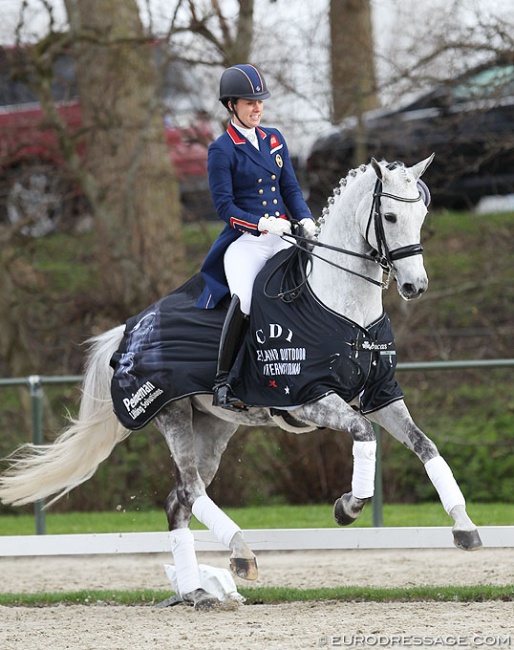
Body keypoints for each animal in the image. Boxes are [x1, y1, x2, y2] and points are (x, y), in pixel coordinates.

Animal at [0, 156, 480, 608]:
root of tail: (129, 330)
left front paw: (464, 526)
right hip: (172, 412)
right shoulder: (307, 397)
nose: (415, 286)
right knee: (192, 489)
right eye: (391, 217)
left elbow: (426, 447)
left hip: (214, 426)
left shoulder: (382, 396)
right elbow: (364, 435)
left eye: (421, 215)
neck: (342, 304)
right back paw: (240, 552)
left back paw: (196, 591)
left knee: (179, 500)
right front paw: (348, 507)